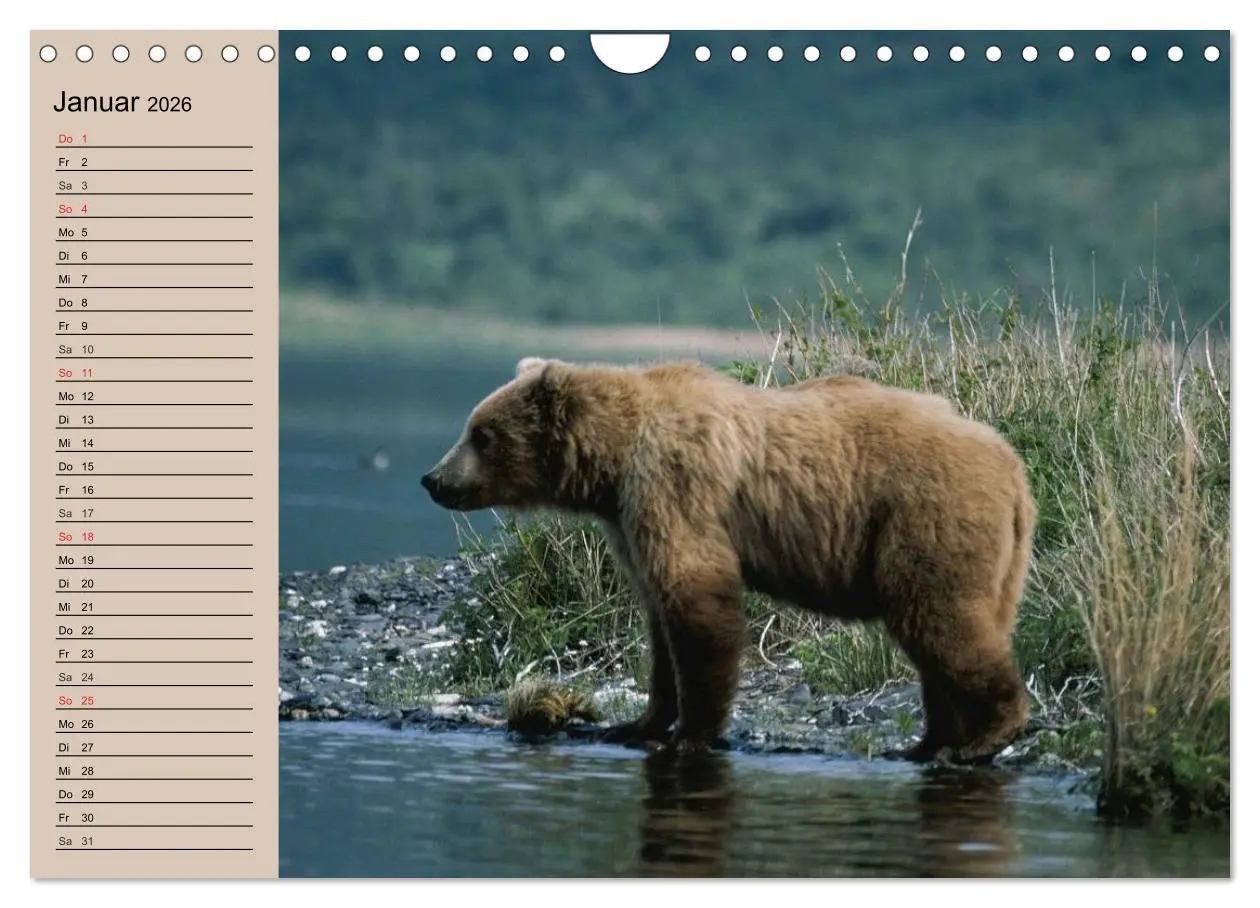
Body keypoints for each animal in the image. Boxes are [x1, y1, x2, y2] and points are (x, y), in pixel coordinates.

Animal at [421, 356, 1036, 763]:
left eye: (481, 434)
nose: (433, 479)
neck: (611, 466)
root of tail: (1012, 465)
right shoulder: (628, 519)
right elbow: (659, 623)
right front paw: (638, 722)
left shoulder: (674, 486)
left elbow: (697, 599)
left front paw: (691, 732)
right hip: (995, 554)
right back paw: (927, 743)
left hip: (925, 517)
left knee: (941, 620)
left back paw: (987, 734)